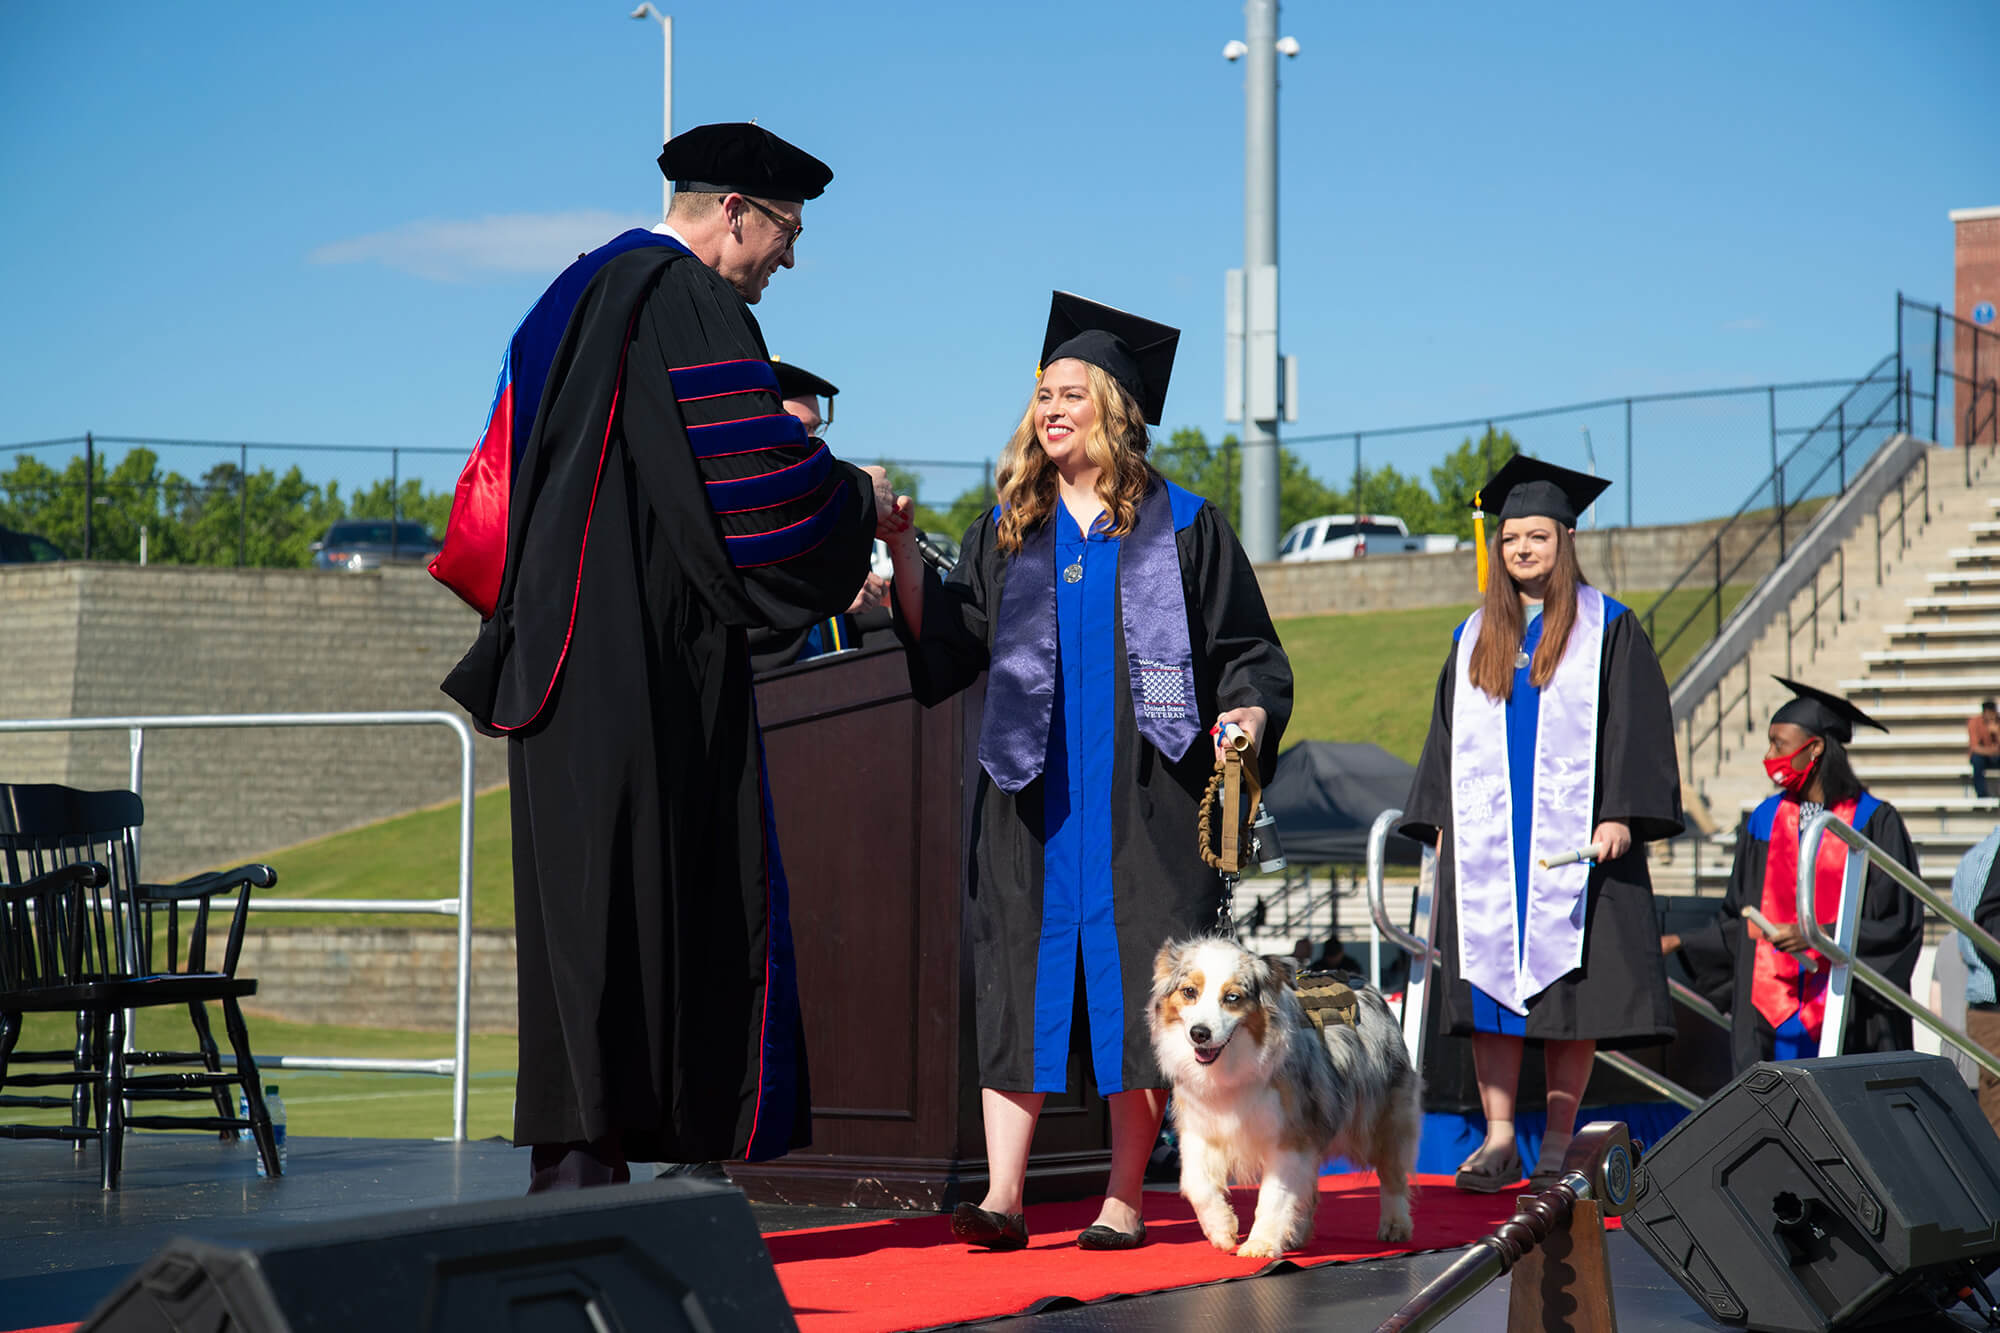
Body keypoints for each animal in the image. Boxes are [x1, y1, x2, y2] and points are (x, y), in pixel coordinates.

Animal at [1160, 928, 1424, 1248]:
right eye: (1189, 992)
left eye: (1232, 997)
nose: (1199, 1033)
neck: (1230, 1065)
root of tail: (1362, 983)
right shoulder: (1199, 1127)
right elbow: (1196, 1183)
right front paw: (1222, 1229)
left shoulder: (1290, 1133)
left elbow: (1276, 1194)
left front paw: (1260, 1245)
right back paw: (1296, 1234)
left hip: (1379, 1119)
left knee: (1392, 1172)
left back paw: (1395, 1225)